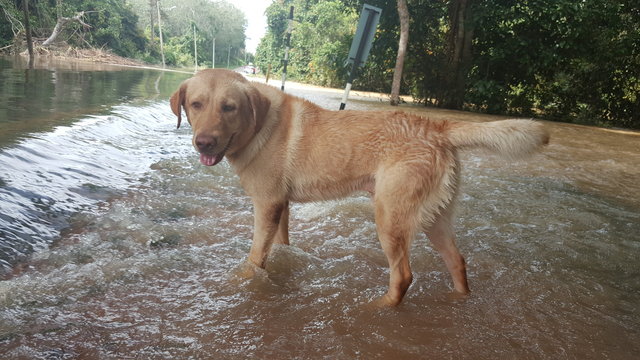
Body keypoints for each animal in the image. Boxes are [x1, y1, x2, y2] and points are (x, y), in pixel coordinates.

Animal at [171, 69, 552, 306]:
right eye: (196, 104)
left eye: (229, 107)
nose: (204, 143)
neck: (258, 124)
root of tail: (437, 127)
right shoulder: (282, 206)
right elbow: (281, 245)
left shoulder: (266, 205)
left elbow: (253, 260)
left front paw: (242, 282)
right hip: (434, 218)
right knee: (457, 261)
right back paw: (458, 299)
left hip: (390, 218)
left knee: (403, 276)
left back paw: (376, 309)